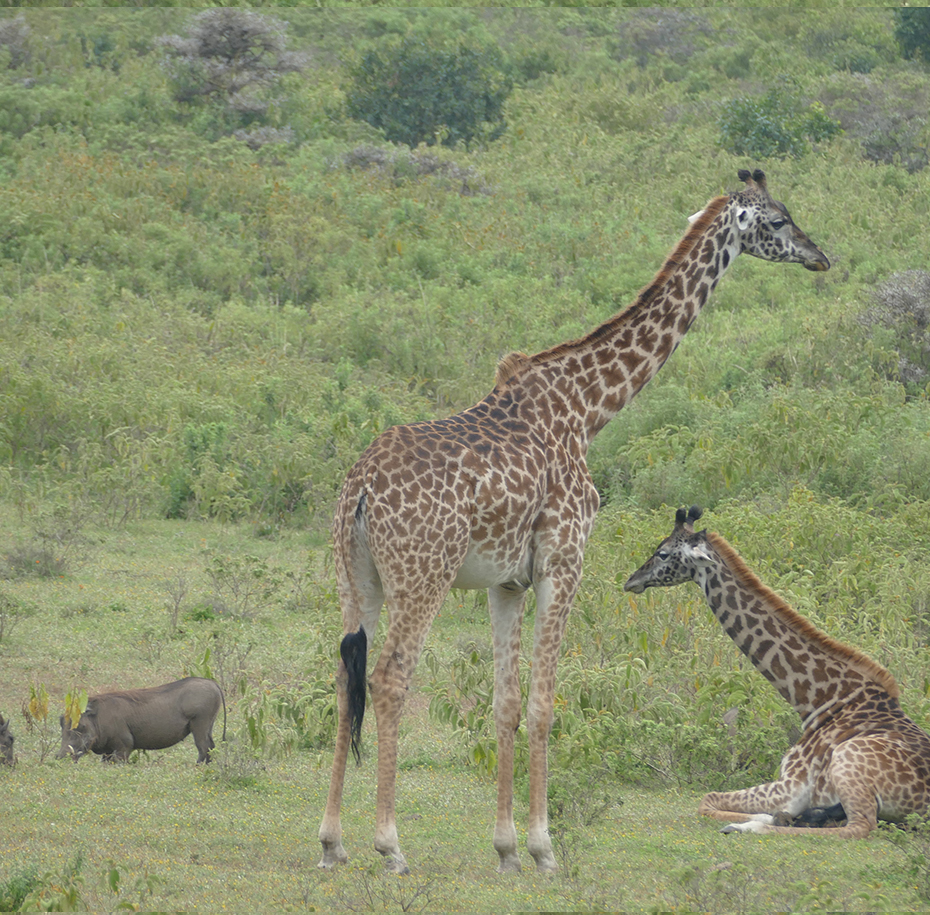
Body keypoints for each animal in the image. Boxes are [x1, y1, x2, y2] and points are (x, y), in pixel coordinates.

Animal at [318, 168, 828, 876]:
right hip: (423, 575)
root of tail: (361, 488)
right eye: (777, 221)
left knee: (347, 676)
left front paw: (505, 849)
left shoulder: (506, 581)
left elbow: (505, 704)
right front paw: (543, 848)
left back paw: (331, 840)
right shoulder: (565, 561)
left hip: (355, 574)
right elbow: (543, 703)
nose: (820, 255)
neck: (589, 409)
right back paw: (389, 844)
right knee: (391, 677)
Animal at [620, 508, 928, 836]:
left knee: (858, 827)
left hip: (849, 766)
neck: (819, 701)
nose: (631, 580)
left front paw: (758, 820)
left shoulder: (791, 786)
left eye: (662, 553)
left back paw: (748, 827)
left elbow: (706, 800)